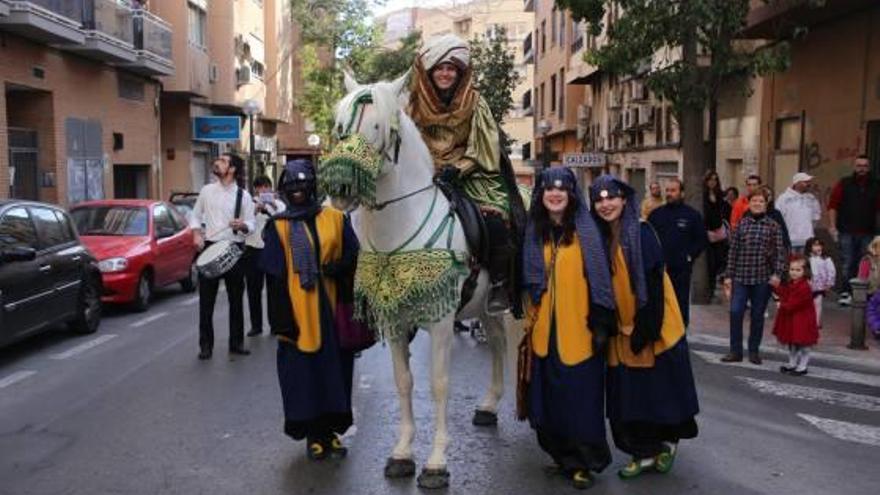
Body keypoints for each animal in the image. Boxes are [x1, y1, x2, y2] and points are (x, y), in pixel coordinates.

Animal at [328, 73, 508, 488]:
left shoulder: (441, 321)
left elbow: (439, 383)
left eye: (379, 126)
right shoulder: (395, 320)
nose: (341, 187)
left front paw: (437, 461)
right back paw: (489, 405)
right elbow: (404, 381)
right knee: (498, 343)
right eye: (339, 126)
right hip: (485, 306)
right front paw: (402, 453)